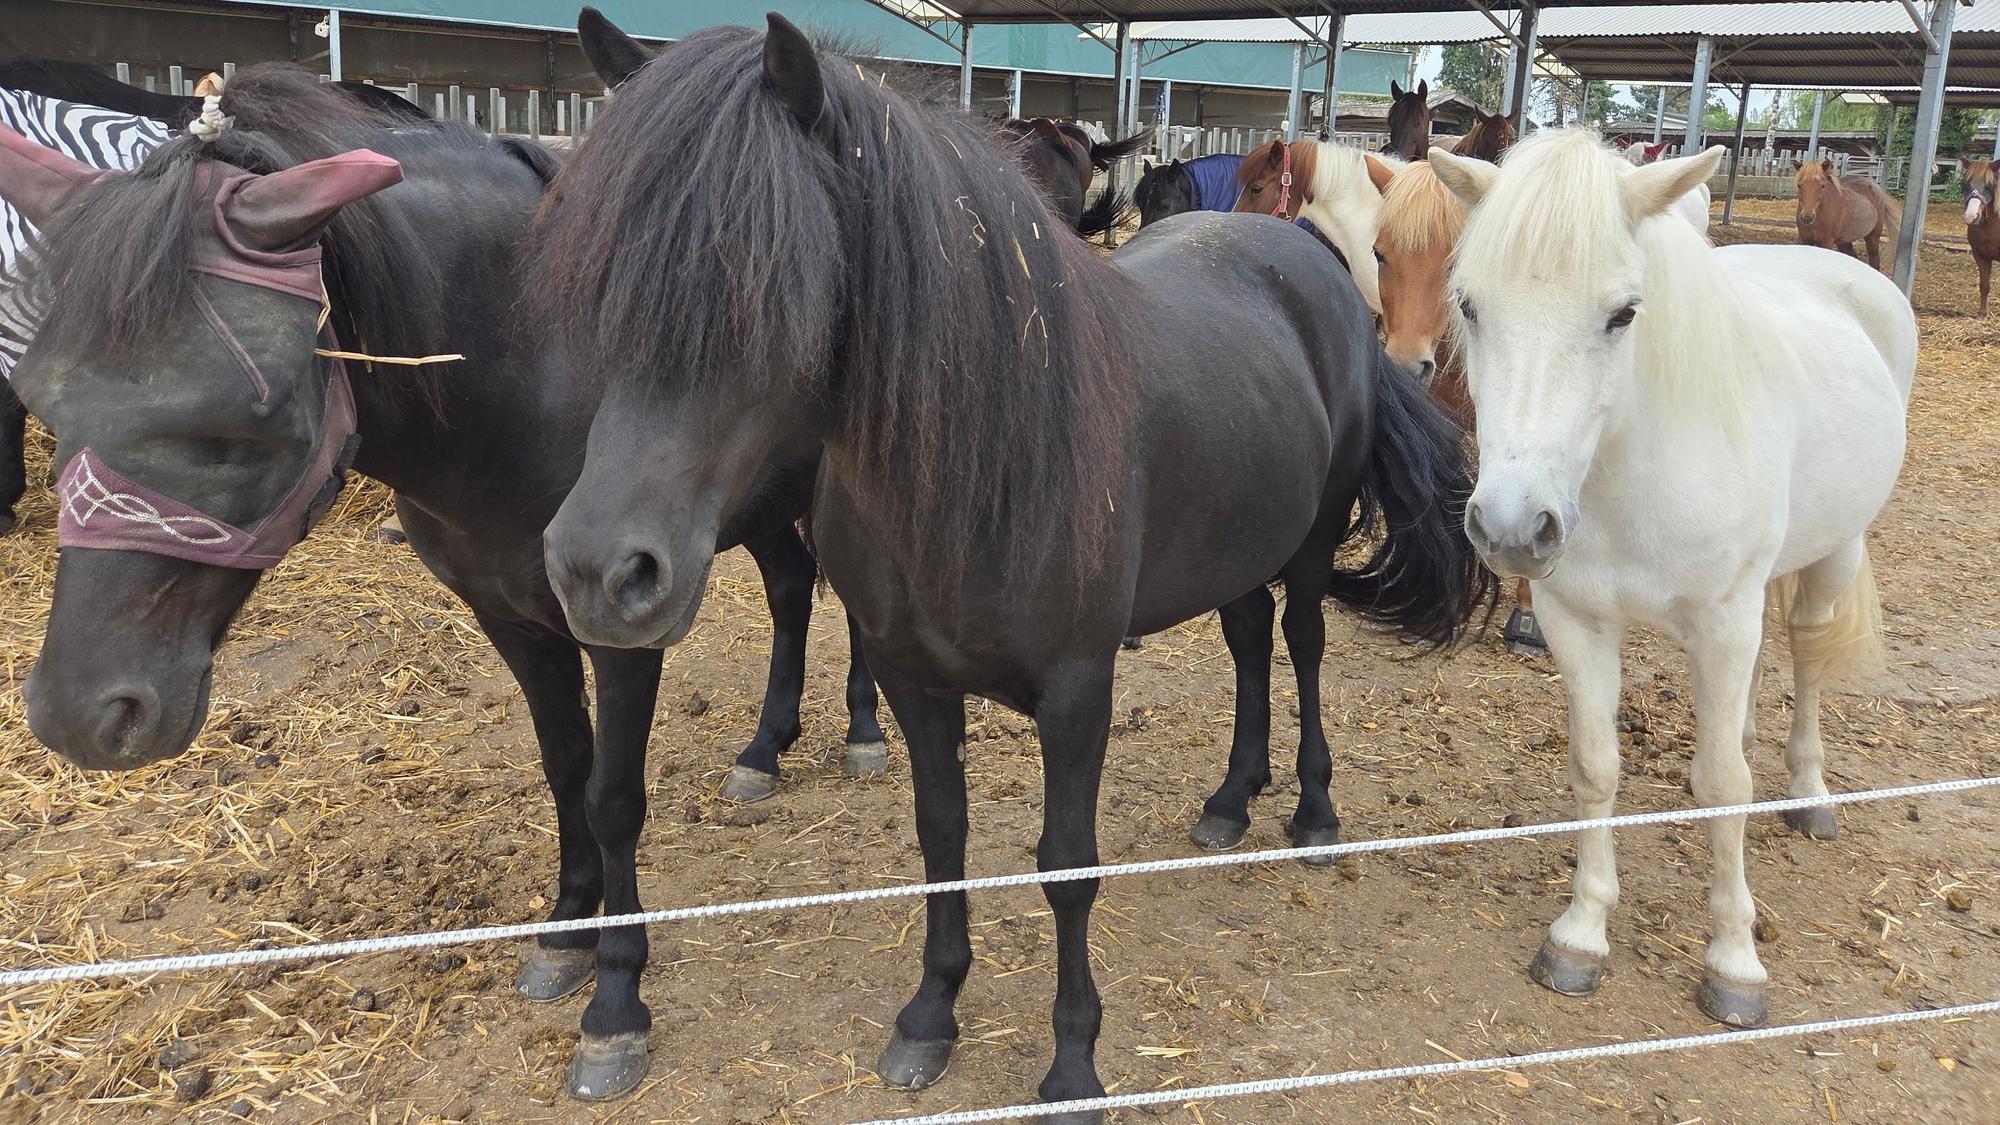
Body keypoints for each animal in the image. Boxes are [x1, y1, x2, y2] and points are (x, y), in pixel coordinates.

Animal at [0, 65, 885, 1101]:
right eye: (47, 394)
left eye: (247, 412)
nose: (76, 714)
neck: (532, 376)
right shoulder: (510, 616)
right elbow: (565, 767)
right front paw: (563, 931)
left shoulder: (618, 624)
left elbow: (613, 796)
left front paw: (616, 1002)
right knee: (790, 590)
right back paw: (764, 750)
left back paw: (863, 732)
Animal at [1431, 132, 1914, 1029]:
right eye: (1471, 306)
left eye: (1624, 312)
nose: (1512, 526)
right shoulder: (1577, 622)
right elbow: (1596, 765)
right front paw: (1581, 935)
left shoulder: (1721, 623)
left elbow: (1726, 782)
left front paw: (1734, 960)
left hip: (1832, 557)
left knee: (1805, 659)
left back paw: (1808, 791)